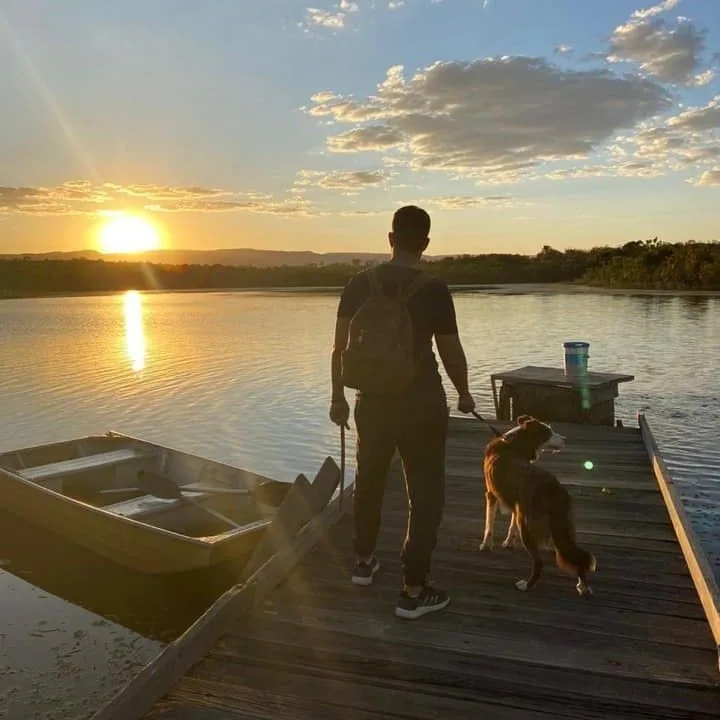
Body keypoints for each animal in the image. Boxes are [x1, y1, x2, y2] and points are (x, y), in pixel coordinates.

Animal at [478, 416, 596, 596]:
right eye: (548, 432)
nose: (566, 439)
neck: (514, 444)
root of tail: (553, 488)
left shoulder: (491, 495)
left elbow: (488, 526)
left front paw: (486, 545)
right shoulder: (516, 505)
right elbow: (511, 526)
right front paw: (508, 542)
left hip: (528, 526)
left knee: (539, 561)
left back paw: (526, 585)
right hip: (560, 527)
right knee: (574, 555)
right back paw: (583, 586)